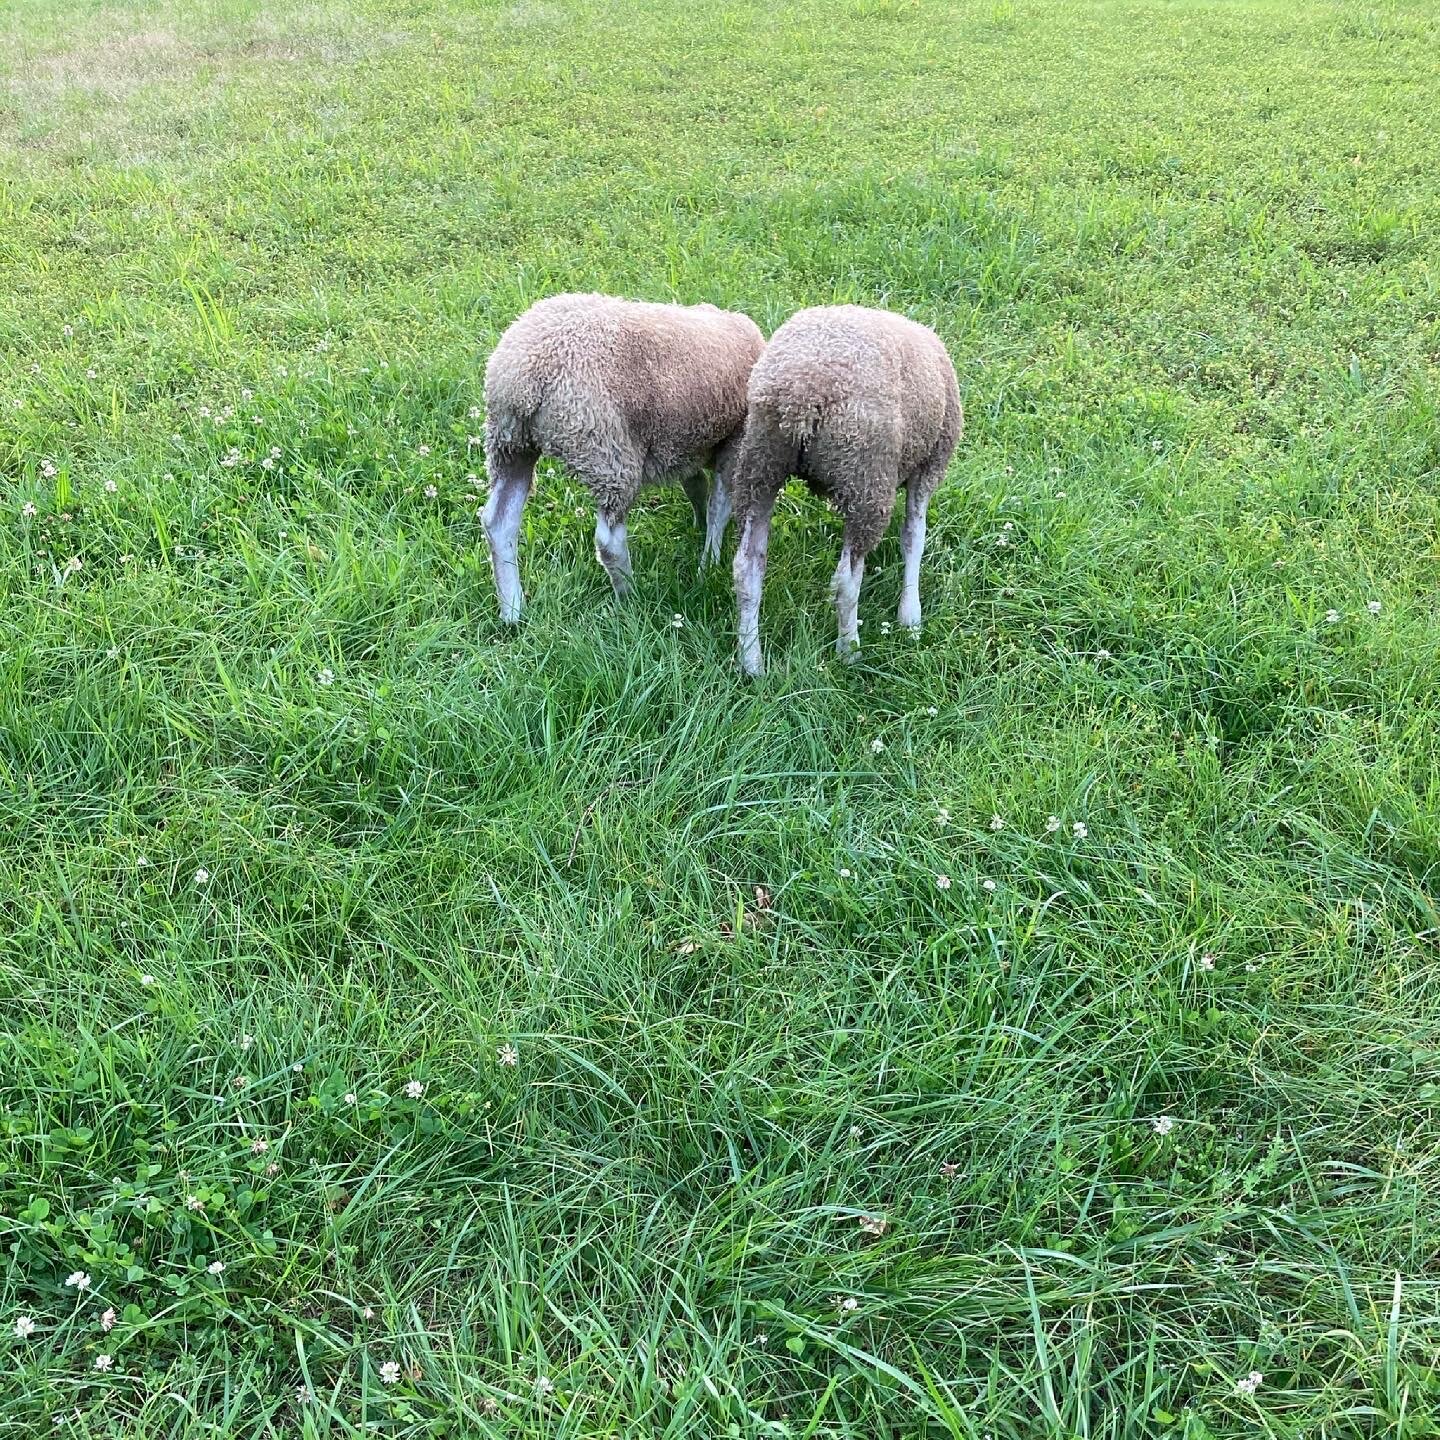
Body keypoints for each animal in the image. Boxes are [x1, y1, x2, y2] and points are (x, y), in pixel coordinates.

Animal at [478, 295, 766, 622]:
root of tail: (526, 373)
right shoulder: (734, 442)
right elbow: (719, 505)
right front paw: (710, 559)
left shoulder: (682, 445)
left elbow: (696, 486)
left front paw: (699, 524)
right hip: (608, 453)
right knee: (609, 542)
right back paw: (630, 597)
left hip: (510, 443)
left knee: (499, 522)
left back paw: (512, 610)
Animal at [731, 303, 956, 673]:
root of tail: (801, 390)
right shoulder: (930, 464)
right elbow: (914, 538)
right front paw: (910, 617)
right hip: (866, 478)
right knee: (847, 581)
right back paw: (849, 651)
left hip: (759, 465)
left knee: (747, 569)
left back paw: (752, 662)